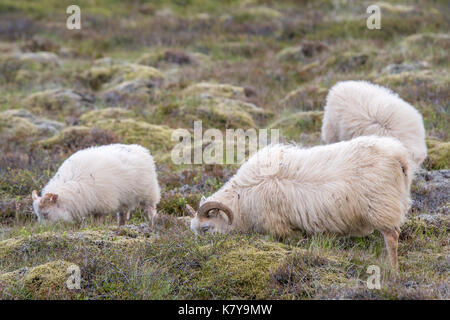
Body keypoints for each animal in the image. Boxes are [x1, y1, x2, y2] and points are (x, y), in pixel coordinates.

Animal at [30, 144, 160, 226]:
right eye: (38, 215)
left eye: (46, 213)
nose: (44, 229)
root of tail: (142, 149)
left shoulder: (101, 204)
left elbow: (98, 220)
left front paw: (97, 227)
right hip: (125, 199)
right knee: (123, 215)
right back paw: (121, 227)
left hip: (149, 193)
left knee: (151, 210)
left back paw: (152, 225)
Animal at [187, 136, 414, 270]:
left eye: (206, 229)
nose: (197, 253)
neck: (241, 199)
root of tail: (399, 157)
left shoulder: (279, 227)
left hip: (382, 205)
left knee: (392, 237)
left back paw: (393, 271)